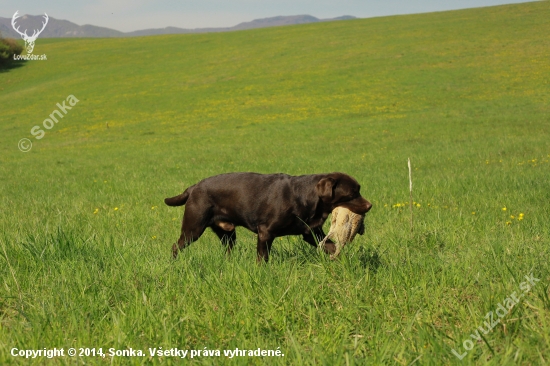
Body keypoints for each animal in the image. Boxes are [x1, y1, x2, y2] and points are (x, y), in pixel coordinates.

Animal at [166, 173, 374, 262]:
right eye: (351, 194)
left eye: (359, 190)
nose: (370, 205)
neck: (305, 196)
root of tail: (193, 187)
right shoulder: (266, 233)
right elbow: (262, 258)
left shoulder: (311, 233)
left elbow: (331, 247)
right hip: (193, 228)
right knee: (176, 246)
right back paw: (174, 264)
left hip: (228, 234)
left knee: (228, 249)